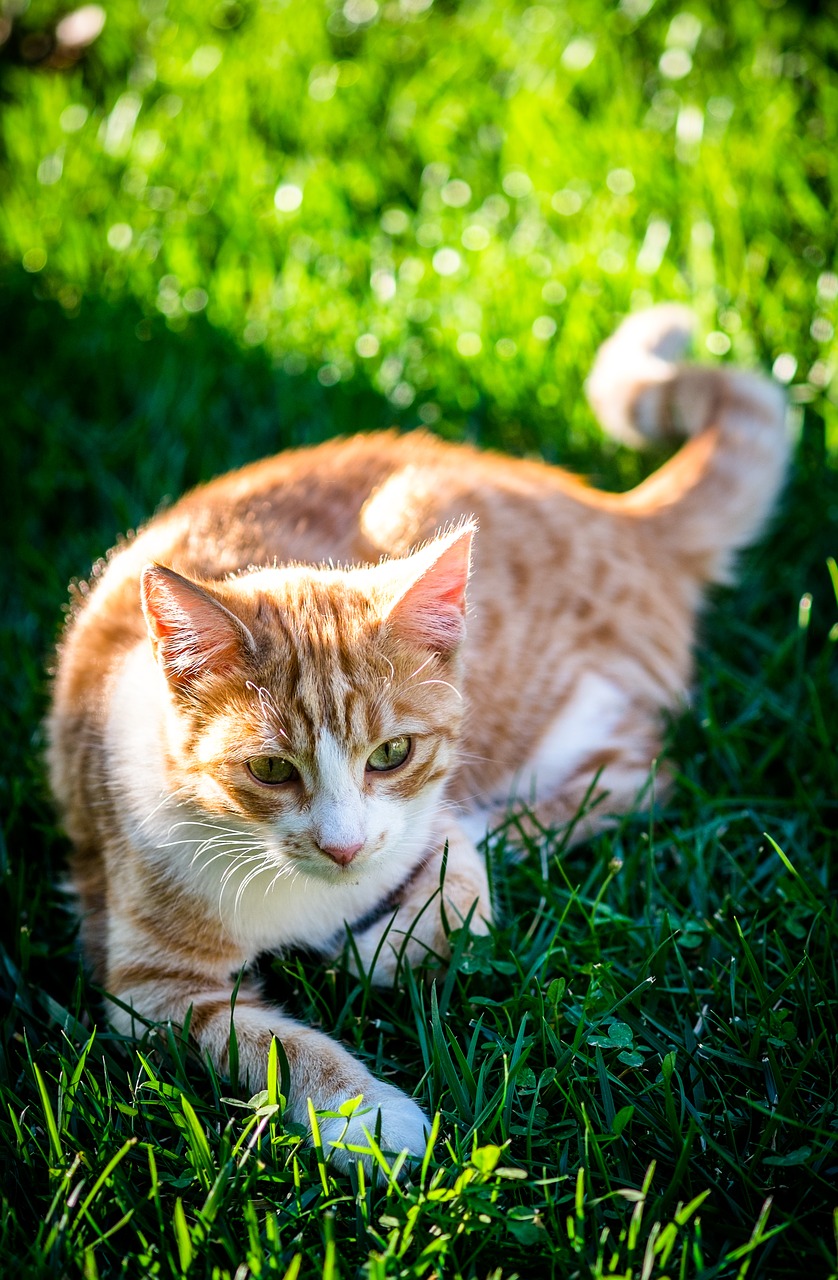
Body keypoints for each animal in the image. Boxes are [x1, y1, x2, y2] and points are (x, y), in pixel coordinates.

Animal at [49, 304, 788, 1167]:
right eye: (270, 770)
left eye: (392, 754)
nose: (342, 849)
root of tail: (617, 511)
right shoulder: (149, 989)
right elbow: (267, 1041)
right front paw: (365, 1116)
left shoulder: (429, 821)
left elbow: (463, 894)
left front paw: (376, 952)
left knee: (635, 773)